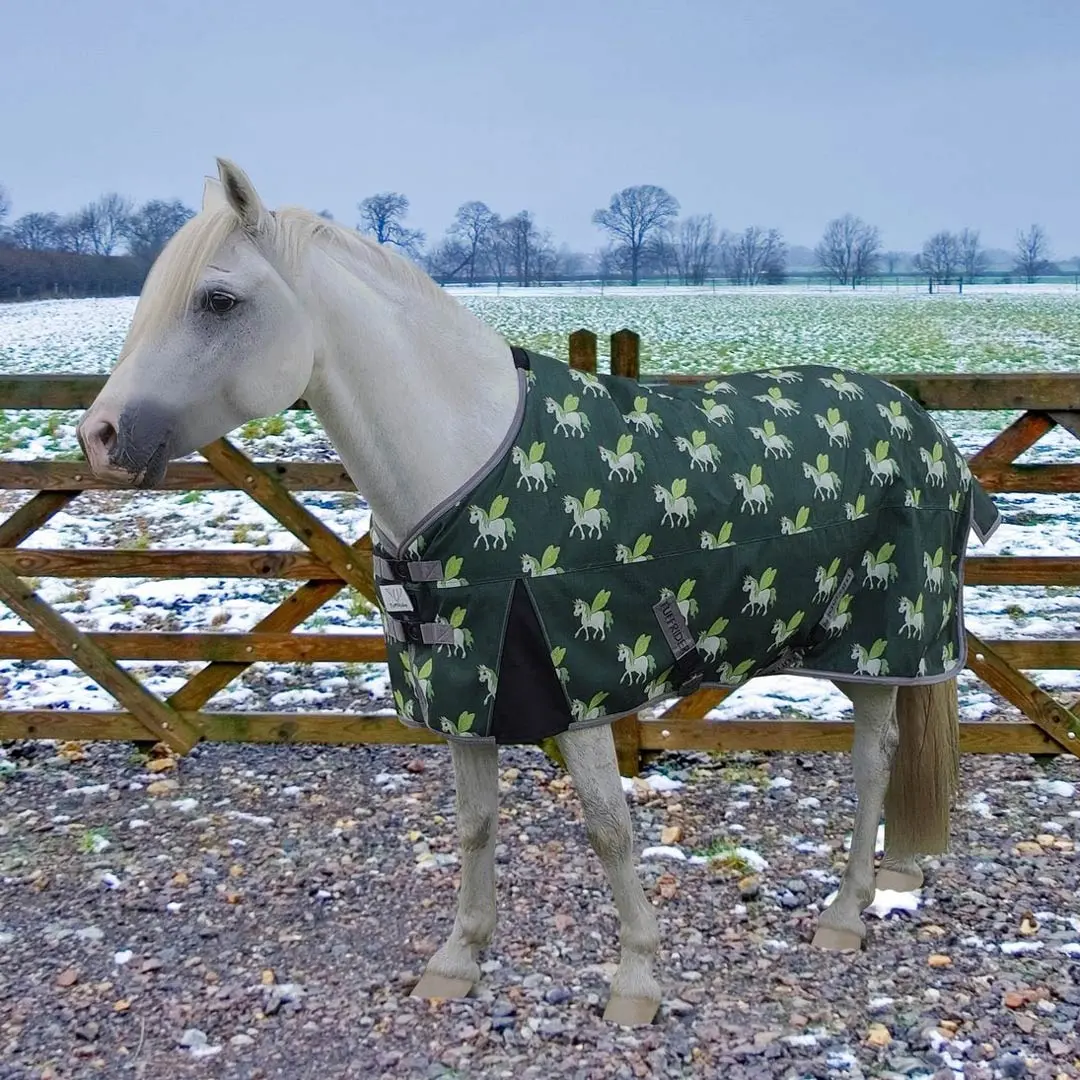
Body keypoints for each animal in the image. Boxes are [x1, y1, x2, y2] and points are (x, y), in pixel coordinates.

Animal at [76, 159, 992, 1028]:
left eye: (217, 300)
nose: (100, 437)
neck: (464, 466)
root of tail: (927, 430)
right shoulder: (466, 693)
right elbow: (476, 824)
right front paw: (458, 961)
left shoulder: (575, 690)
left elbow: (609, 827)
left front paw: (636, 980)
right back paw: (875, 893)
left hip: (884, 642)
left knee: (873, 762)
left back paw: (843, 915)